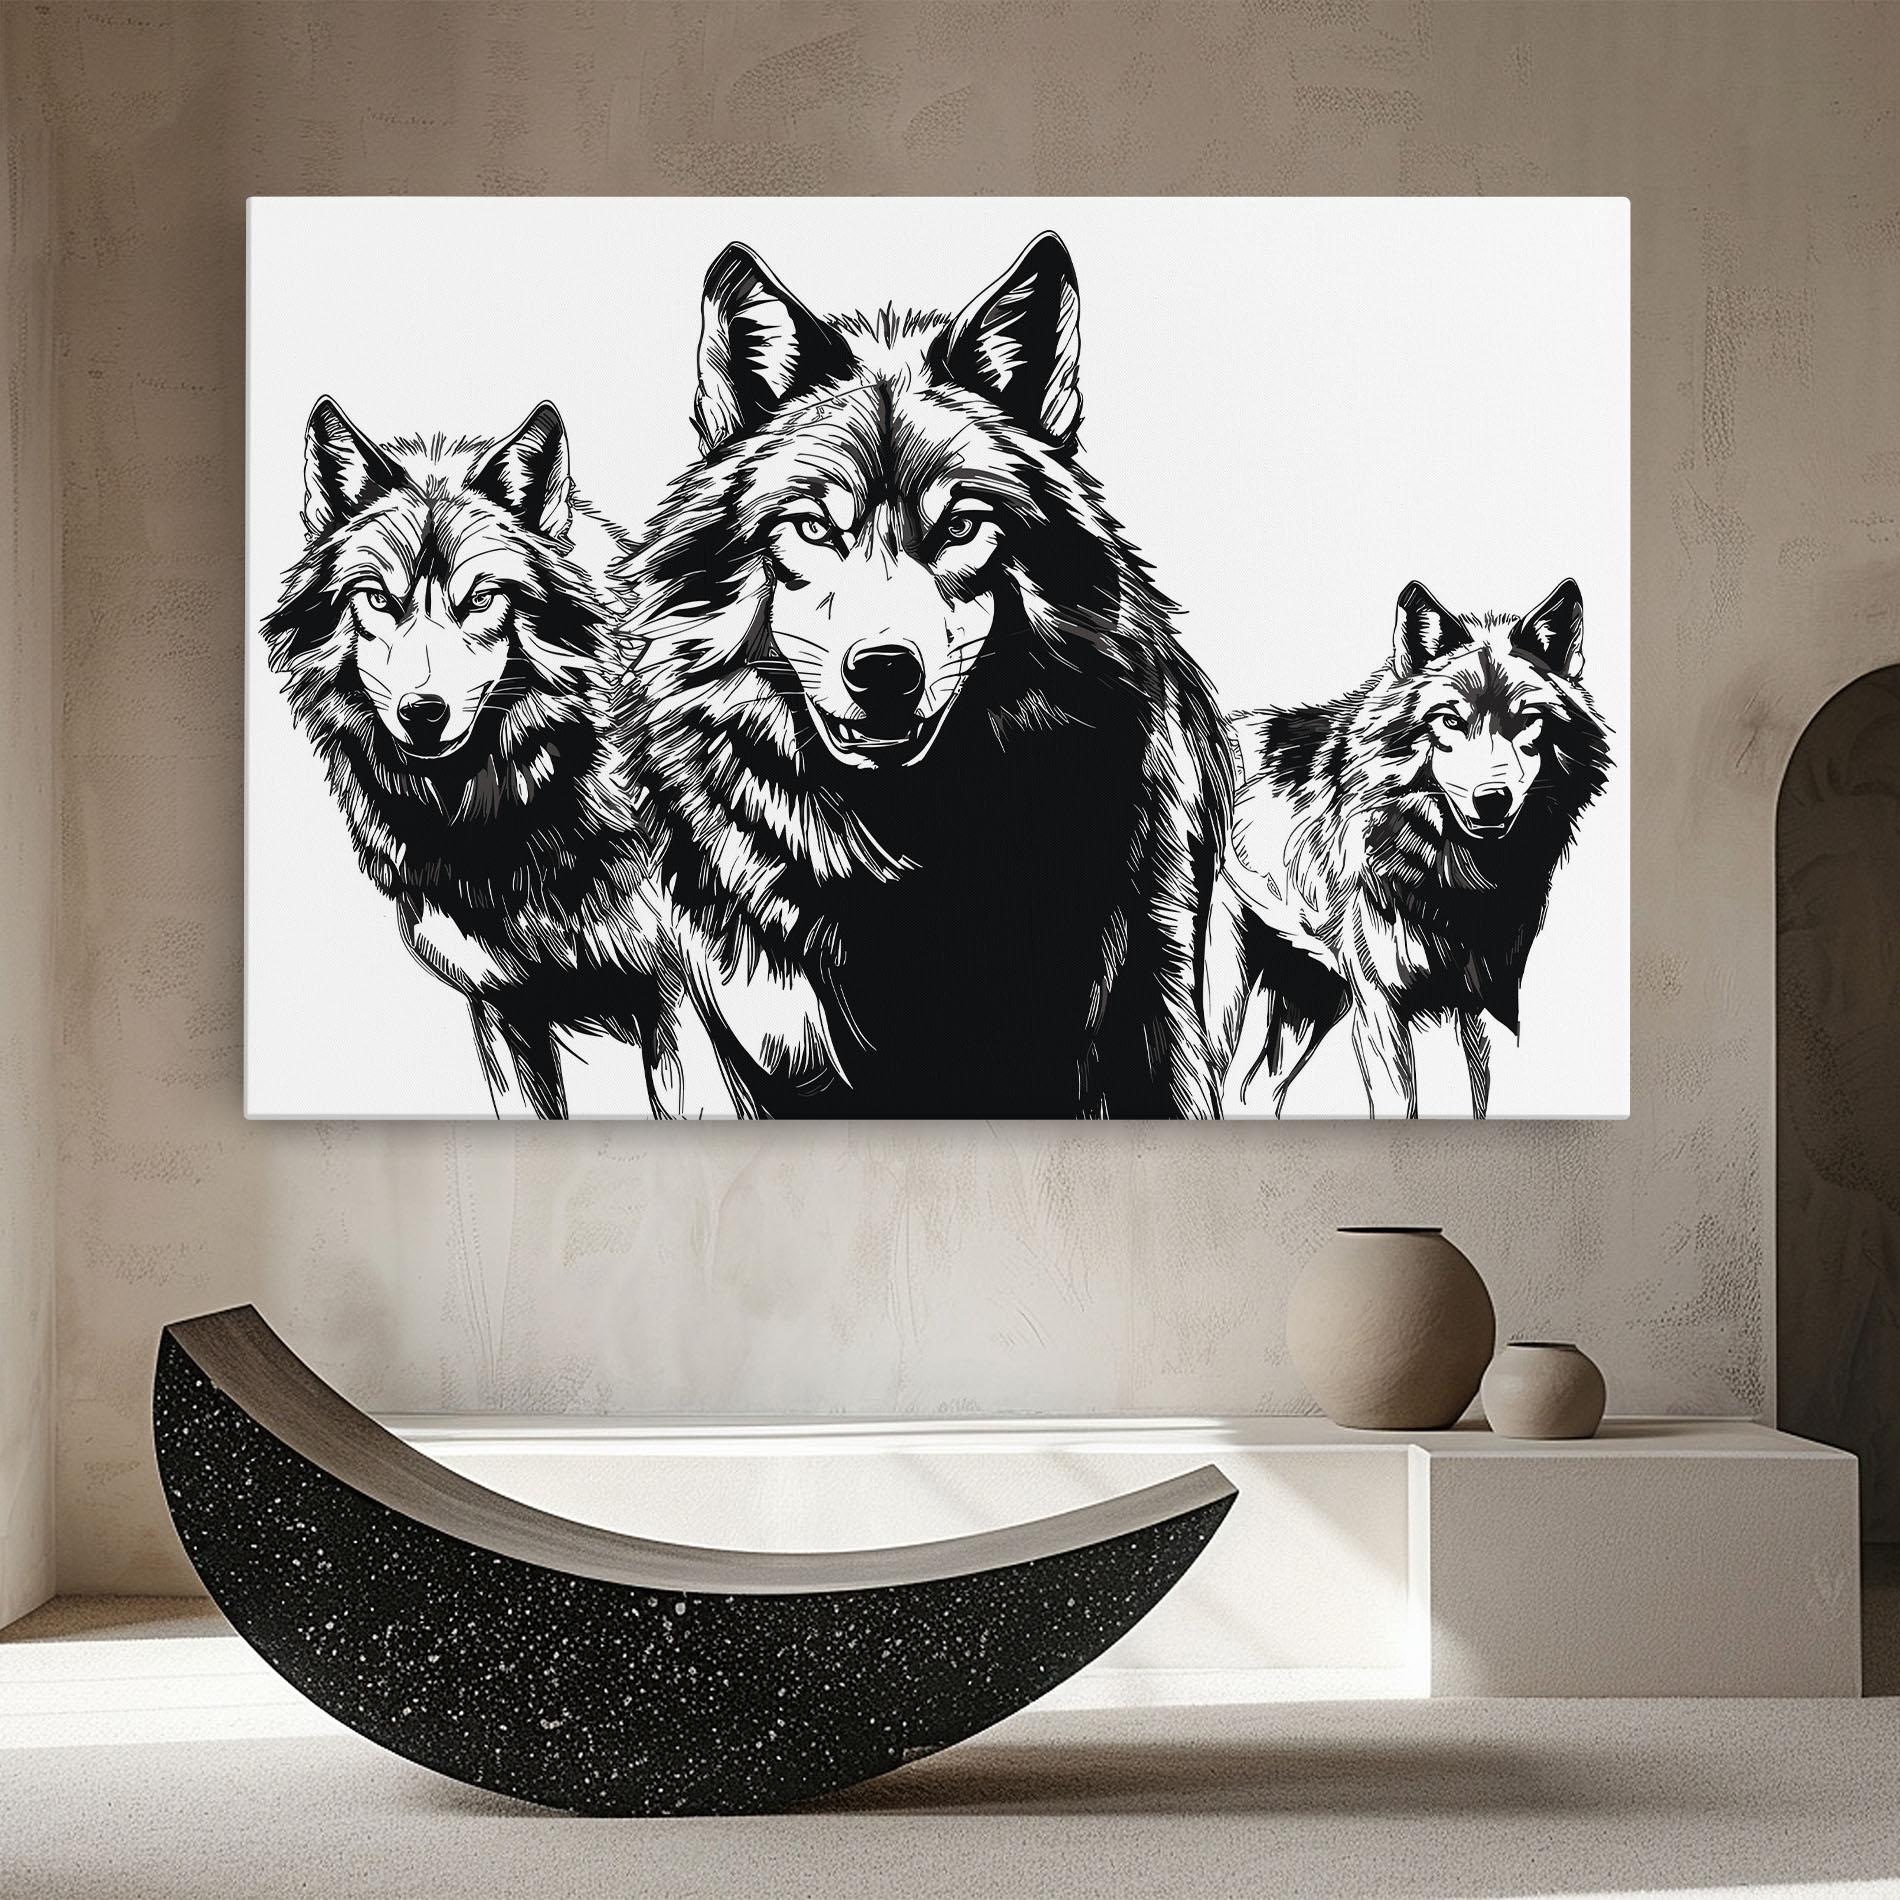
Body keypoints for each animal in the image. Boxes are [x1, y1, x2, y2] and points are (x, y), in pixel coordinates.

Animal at [1208, 578, 1611, 1119]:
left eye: (1526, 719)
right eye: (1449, 721)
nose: (1492, 799)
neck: (1458, 881)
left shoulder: (1481, 1008)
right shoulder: (1382, 1009)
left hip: (1313, 1001)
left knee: (1252, 1089)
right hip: (1224, 996)